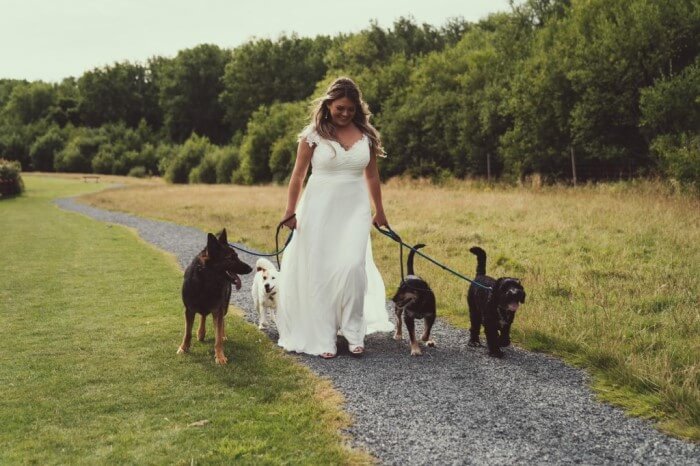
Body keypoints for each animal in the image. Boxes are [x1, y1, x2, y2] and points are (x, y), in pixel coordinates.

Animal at [176, 228, 253, 364]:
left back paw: (222, 334)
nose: (251, 268)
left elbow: (218, 338)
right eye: (230, 258)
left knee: (221, 321)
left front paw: (220, 356)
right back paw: (201, 333)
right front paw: (184, 348)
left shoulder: (218, 309)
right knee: (203, 315)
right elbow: (187, 333)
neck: (206, 280)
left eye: (237, 256)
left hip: (224, 306)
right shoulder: (189, 310)